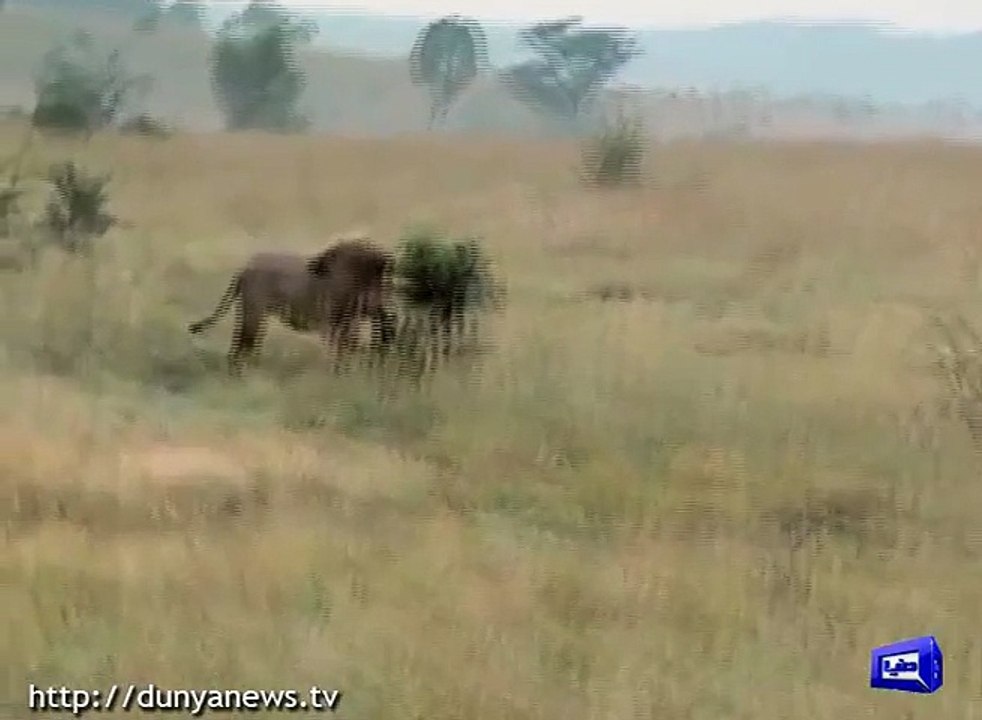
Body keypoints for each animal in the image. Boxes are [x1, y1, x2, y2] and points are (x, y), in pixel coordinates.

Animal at [188, 238, 396, 375]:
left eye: (381, 280)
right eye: (371, 279)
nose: (377, 304)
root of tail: (246, 268)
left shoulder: (348, 324)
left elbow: (346, 351)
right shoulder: (333, 324)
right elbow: (340, 352)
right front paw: (336, 376)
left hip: (252, 315)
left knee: (243, 346)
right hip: (254, 313)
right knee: (241, 346)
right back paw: (239, 376)